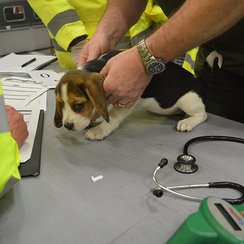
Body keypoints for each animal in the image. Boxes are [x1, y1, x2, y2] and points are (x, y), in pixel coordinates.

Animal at [54, 50, 207, 140]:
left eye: (78, 105)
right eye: (61, 104)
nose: (67, 126)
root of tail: (199, 82)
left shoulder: (127, 99)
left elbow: (113, 116)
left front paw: (99, 130)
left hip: (190, 101)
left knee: (203, 115)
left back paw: (187, 122)